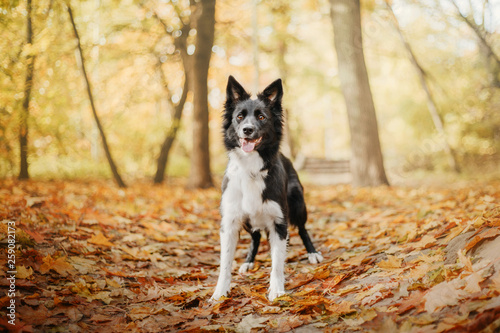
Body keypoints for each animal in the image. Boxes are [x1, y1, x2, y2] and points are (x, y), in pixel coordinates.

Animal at [212, 76, 324, 300]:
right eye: (239, 117)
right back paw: (248, 262)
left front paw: (277, 290)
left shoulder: (279, 221)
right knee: (255, 238)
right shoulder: (229, 221)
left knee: (302, 229)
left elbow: (277, 263)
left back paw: (312, 253)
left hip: (298, 204)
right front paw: (219, 292)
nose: (247, 129)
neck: (251, 168)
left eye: (262, 117)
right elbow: (225, 262)